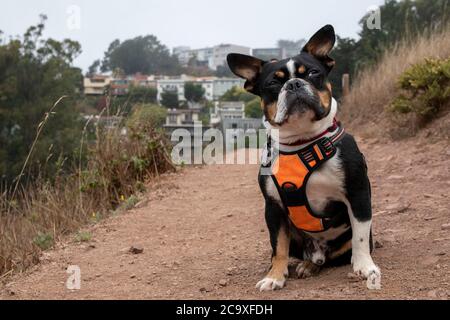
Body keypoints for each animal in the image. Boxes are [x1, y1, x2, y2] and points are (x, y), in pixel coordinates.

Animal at [229, 25, 380, 290]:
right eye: (273, 83)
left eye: (312, 72)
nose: (294, 84)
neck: (302, 144)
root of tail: (317, 250)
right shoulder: (274, 209)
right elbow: (278, 246)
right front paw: (274, 276)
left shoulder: (358, 193)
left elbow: (360, 236)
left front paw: (365, 266)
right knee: (305, 255)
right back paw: (305, 265)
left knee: (334, 256)